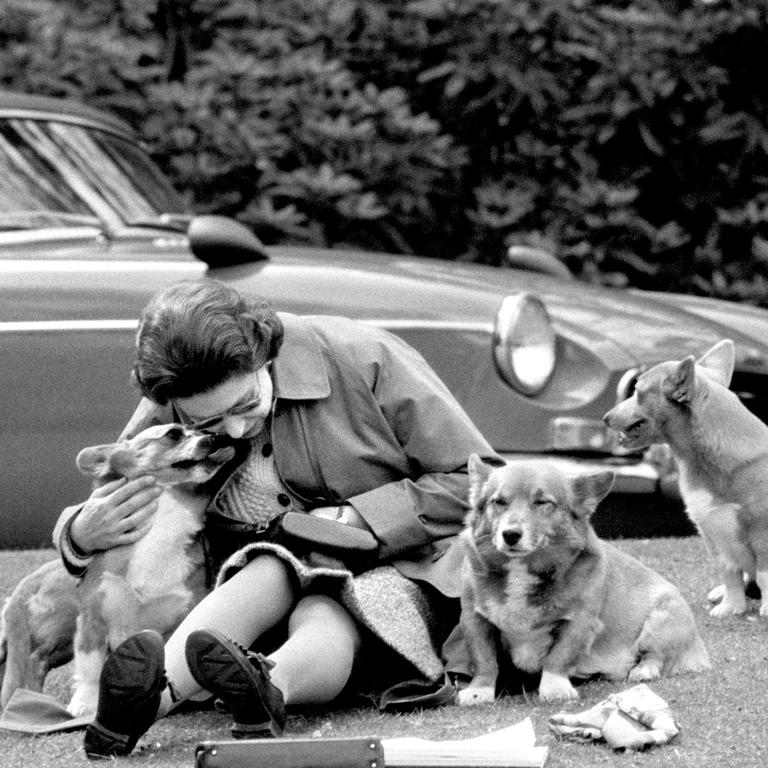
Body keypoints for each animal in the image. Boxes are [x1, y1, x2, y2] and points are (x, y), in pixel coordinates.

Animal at [0, 420, 234, 712]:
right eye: (173, 434)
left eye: (203, 429)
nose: (218, 436)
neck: (161, 522)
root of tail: (27, 583)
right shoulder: (92, 620)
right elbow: (90, 668)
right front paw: (84, 705)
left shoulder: (183, 614)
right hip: (65, 621)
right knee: (35, 660)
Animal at [456, 456, 708, 704]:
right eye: (498, 501)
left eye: (542, 502)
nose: (510, 535)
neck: (523, 570)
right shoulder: (474, 620)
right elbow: (485, 660)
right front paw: (479, 691)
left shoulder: (579, 621)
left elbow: (558, 657)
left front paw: (554, 688)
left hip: (663, 619)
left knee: (655, 656)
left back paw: (643, 671)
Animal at [604, 340, 768, 616]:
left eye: (637, 392)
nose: (604, 418)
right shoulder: (713, 537)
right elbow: (730, 574)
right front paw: (730, 608)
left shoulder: (761, 531)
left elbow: (765, 575)